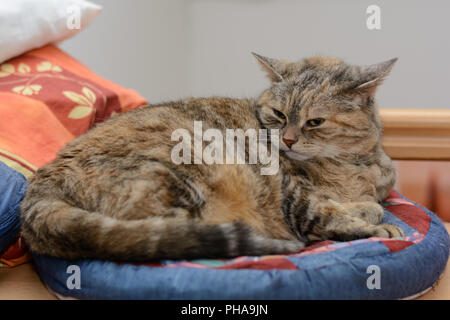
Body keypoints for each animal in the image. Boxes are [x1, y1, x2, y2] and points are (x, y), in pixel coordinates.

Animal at [19, 53, 402, 262]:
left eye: (315, 122)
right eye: (279, 115)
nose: (288, 140)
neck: (353, 164)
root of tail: (43, 181)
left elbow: (370, 202)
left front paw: (366, 207)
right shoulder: (293, 193)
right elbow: (328, 215)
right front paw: (375, 227)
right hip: (184, 174)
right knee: (176, 234)